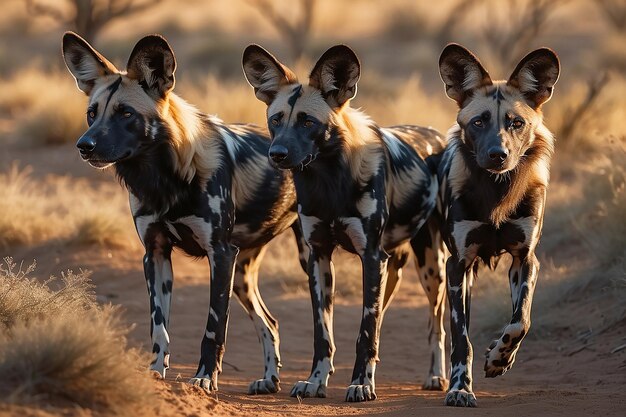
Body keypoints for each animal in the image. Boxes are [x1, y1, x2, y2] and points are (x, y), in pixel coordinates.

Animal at [63, 31, 308, 394]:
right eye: (92, 113)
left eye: (125, 113)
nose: (84, 145)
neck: (163, 179)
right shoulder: (156, 254)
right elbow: (159, 327)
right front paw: (155, 373)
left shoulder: (220, 255)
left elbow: (213, 329)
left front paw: (205, 378)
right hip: (243, 275)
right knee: (271, 322)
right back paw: (270, 379)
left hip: (312, 257)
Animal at [241, 43, 446, 400]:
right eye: (275, 120)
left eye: (307, 122)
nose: (276, 154)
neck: (328, 181)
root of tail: (435, 134)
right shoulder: (318, 257)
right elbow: (323, 333)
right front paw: (315, 380)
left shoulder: (371, 257)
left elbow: (365, 332)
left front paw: (361, 383)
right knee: (383, 320)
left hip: (431, 268)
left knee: (436, 324)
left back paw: (436, 376)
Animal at [436, 44, 560, 404]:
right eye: (479, 122)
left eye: (516, 123)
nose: (497, 154)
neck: (497, 191)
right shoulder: (458, 265)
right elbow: (461, 339)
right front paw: (460, 387)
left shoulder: (525, 260)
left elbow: (521, 322)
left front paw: (499, 358)